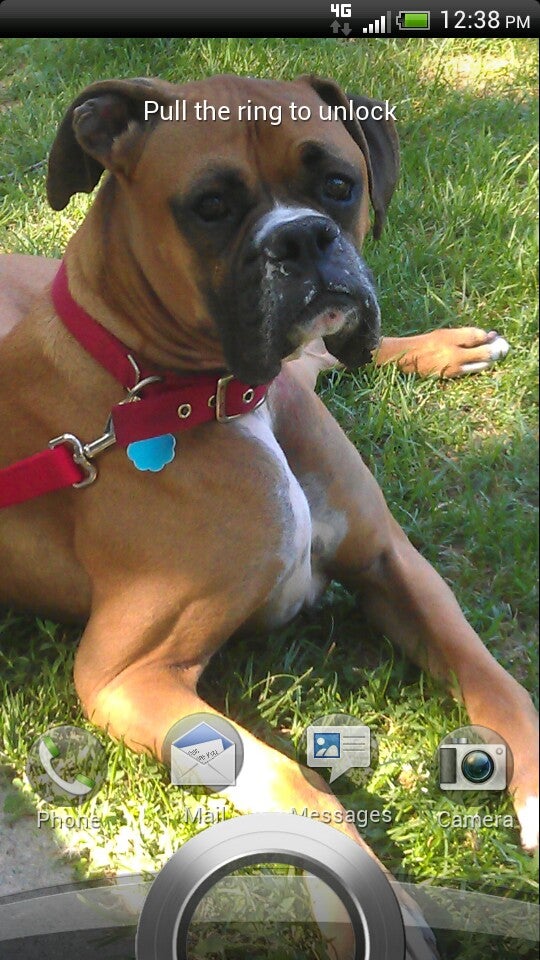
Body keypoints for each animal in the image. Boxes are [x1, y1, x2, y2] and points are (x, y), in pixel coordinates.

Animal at [0, 75, 537, 949]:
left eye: (339, 185)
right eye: (211, 205)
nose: (303, 239)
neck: (197, 395)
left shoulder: (391, 561)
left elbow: (493, 677)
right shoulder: (125, 675)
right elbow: (292, 778)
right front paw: (368, 898)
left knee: (322, 357)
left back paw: (447, 347)